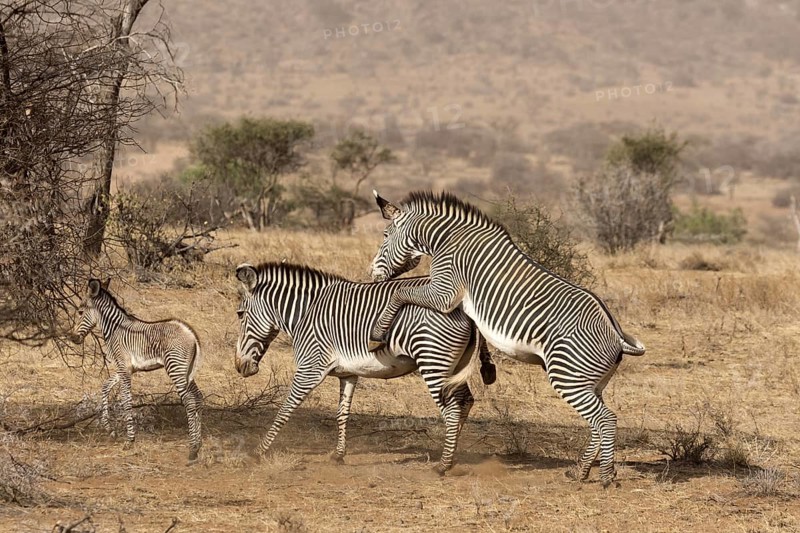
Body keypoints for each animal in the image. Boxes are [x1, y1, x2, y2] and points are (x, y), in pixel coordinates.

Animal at [71, 278, 204, 462]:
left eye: (80, 312)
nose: (72, 338)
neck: (115, 329)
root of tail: (191, 334)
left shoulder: (123, 367)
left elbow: (126, 400)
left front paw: (130, 440)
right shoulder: (125, 368)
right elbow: (105, 387)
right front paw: (110, 430)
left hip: (175, 368)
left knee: (189, 401)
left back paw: (192, 450)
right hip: (186, 371)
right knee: (198, 397)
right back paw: (198, 444)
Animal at [234, 262, 487, 473]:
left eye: (240, 314)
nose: (239, 367)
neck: (305, 312)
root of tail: (464, 309)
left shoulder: (310, 367)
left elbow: (285, 409)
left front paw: (258, 453)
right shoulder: (348, 373)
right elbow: (342, 413)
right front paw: (338, 455)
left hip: (433, 361)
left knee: (452, 410)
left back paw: (443, 465)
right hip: (453, 366)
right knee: (465, 402)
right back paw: (453, 456)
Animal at [366, 190, 646, 487]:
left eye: (385, 234)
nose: (372, 274)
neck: (446, 239)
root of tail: (617, 336)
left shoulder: (445, 293)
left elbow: (401, 292)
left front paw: (376, 333)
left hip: (568, 376)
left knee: (606, 420)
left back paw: (606, 476)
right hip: (591, 382)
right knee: (597, 423)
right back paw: (579, 472)